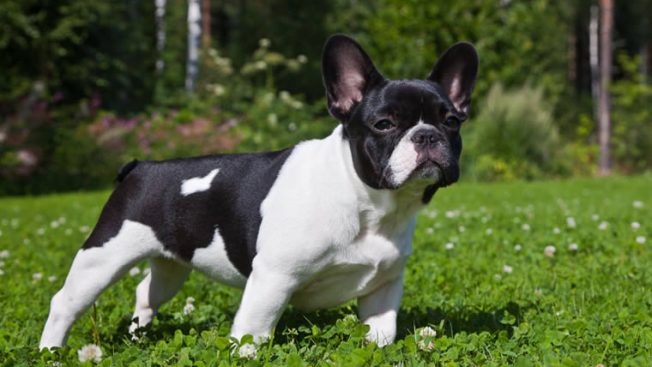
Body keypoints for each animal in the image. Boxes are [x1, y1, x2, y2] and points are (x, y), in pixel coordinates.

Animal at [40, 36, 478, 350]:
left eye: (451, 122)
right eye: (385, 124)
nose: (427, 135)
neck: (367, 200)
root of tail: (141, 167)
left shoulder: (383, 288)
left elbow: (380, 335)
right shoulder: (273, 279)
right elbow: (254, 332)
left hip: (171, 265)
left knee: (146, 294)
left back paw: (139, 337)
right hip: (104, 255)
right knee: (65, 302)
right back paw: (51, 352)